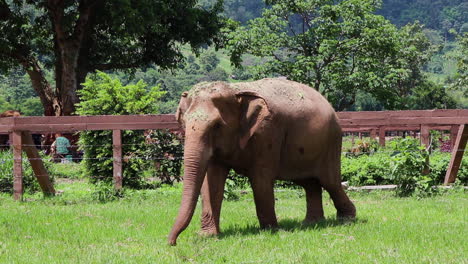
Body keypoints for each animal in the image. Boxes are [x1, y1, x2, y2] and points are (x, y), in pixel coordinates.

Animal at [168, 78, 354, 245]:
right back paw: (311, 223)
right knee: (310, 183)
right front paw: (207, 236)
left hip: (332, 144)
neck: (236, 91)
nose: (172, 242)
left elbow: (260, 180)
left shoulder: (267, 133)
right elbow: (211, 182)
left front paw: (271, 231)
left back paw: (347, 219)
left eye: (217, 126)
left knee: (330, 182)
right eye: (184, 123)